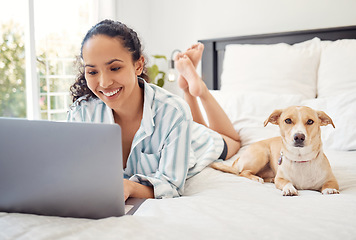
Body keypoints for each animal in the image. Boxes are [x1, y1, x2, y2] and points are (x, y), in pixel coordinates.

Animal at [211, 106, 340, 196]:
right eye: (288, 120)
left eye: (310, 121)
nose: (299, 137)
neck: (301, 159)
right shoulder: (281, 179)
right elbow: (285, 182)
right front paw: (289, 188)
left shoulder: (332, 179)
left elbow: (330, 184)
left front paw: (329, 189)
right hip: (262, 154)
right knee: (243, 172)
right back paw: (257, 178)